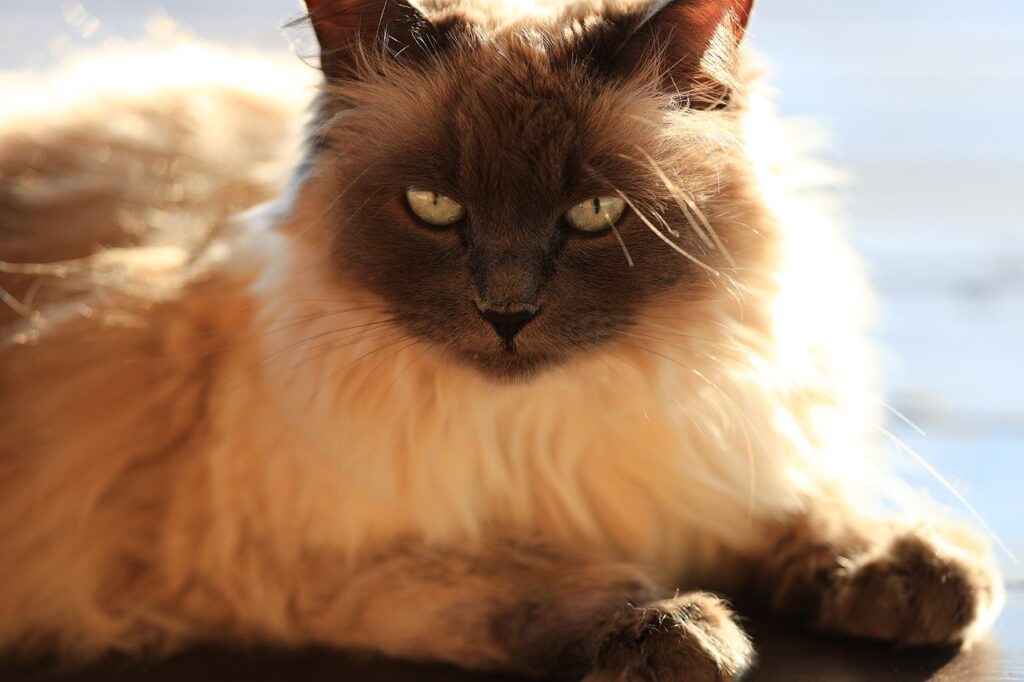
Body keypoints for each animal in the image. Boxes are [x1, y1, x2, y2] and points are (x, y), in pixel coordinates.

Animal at [0, 0, 1007, 675]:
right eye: (434, 208)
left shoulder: (702, 463)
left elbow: (809, 519)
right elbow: (545, 582)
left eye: (596, 213)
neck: (550, 424)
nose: (508, 312)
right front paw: (686, 633)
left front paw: (918, 574)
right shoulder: (334, 565)